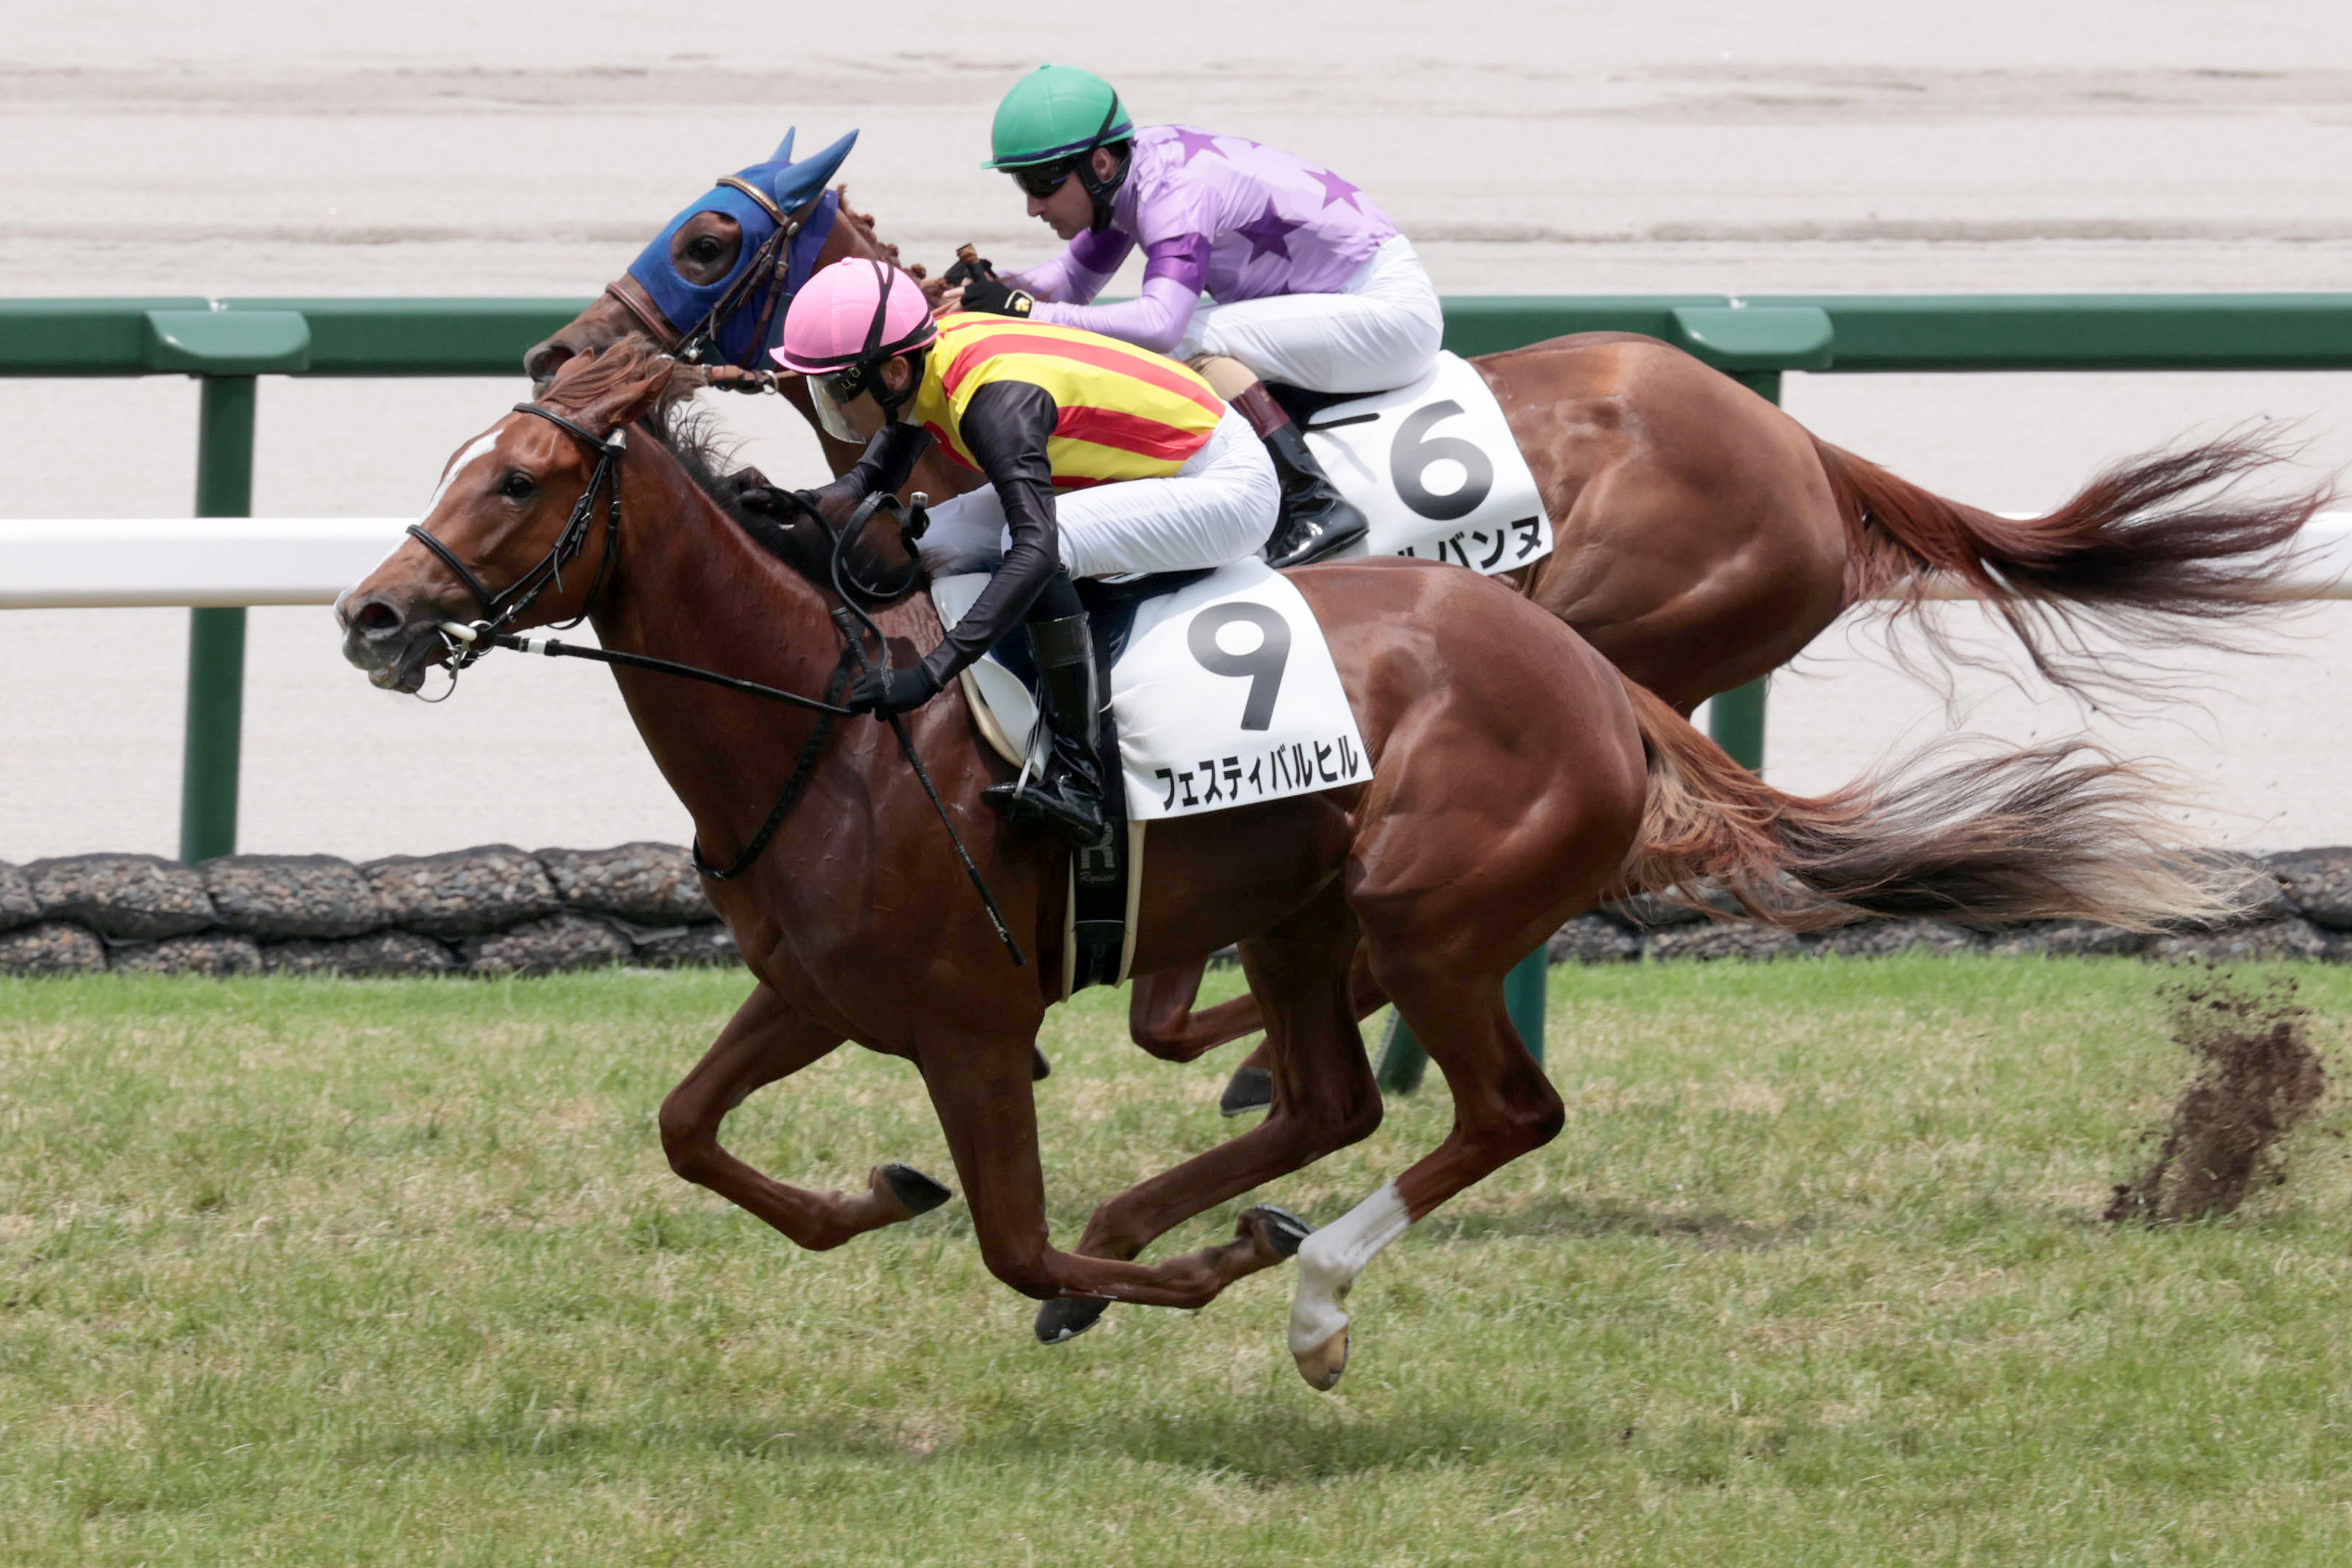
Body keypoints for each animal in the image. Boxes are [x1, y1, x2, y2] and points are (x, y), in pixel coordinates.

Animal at [337, 340, 2234, 1387]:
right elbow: (689, 1134)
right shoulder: (813, 990)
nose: (370, 614)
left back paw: (1307, 1291)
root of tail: (1593, 681)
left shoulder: (966, 1024)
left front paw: (1179, 1275)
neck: (828, 717)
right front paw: (879, 1195)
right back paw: (1226, 1208)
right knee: (1325, 1096)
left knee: (1497, 1111)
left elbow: (1015, 1248)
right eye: (460, 462)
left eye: (516, 483)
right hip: (1306, 909)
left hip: (1422, 905)